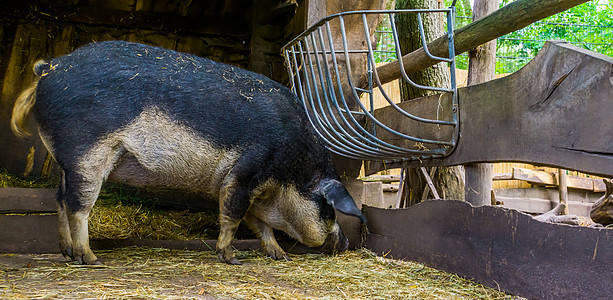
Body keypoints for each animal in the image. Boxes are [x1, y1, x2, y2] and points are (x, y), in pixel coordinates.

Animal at [10, 40, 364, 264]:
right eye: (329, 210)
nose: (347, 243)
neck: (289, 176)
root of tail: (49, 67)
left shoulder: (252, 187)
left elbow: (257, 222)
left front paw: (280, 255)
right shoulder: (246, 171)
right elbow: (234, 216)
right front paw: (232, 259)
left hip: (67, 160)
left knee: (59, 199)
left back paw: (68, 253)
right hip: (86, 152)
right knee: (77, 205)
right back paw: (91, 259)